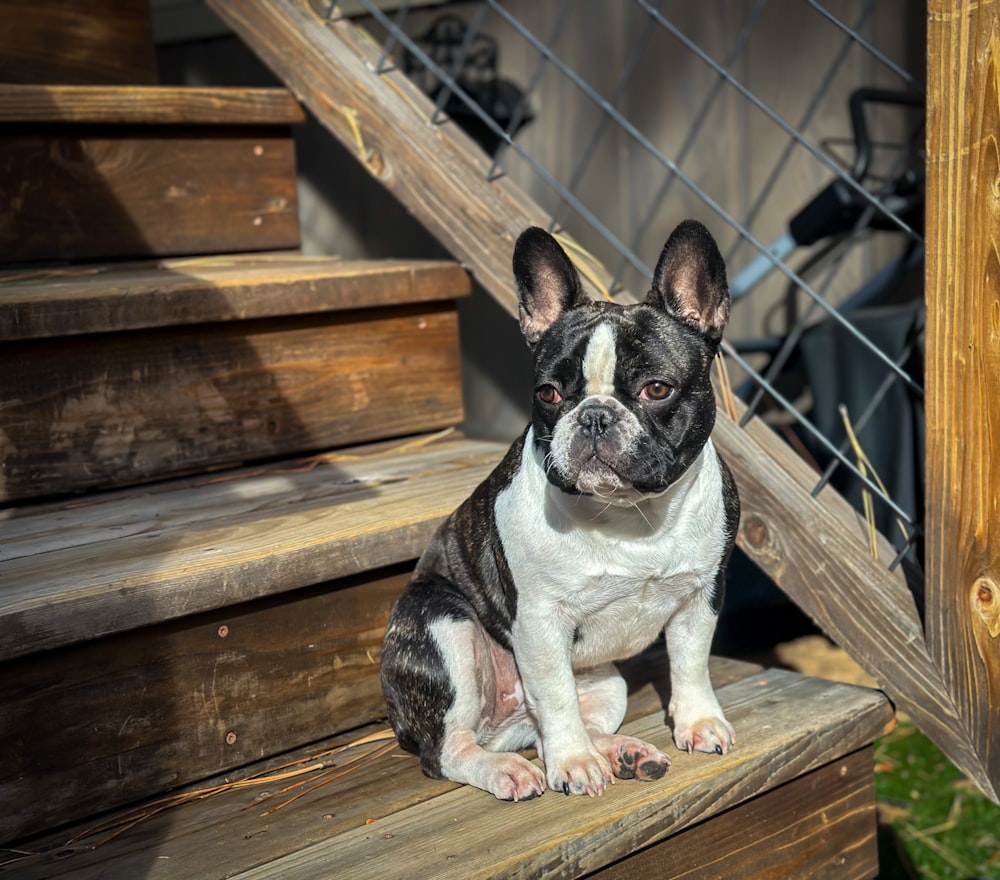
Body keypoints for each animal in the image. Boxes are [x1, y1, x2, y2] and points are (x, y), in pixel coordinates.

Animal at [378, 218, 740, 796]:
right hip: (442, 626)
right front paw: (573, 764)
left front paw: (699, 720)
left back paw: (623, 753)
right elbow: (555, 694)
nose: (593, 415)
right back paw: (512, 768)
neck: (630, 516)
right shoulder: (539, 621)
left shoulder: (701, 593)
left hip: (608, 682)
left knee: (562, 725)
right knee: (453, 750)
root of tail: (506, 724)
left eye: (656, 389)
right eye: (548, 393)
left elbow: (691, 664)